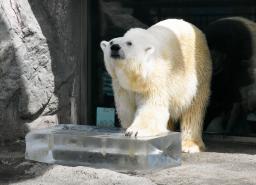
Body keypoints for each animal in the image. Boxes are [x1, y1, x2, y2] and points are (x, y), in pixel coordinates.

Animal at [100, 18, 212, 152]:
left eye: (129, 43)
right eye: (111, 42)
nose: (115, 47)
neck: (135, 77)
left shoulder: (154, 79)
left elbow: (152, 106)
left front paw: (134, 131)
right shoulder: (121, 85)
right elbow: (126, 108)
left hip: (199, 69)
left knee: (194, 107)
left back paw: (190, 144)